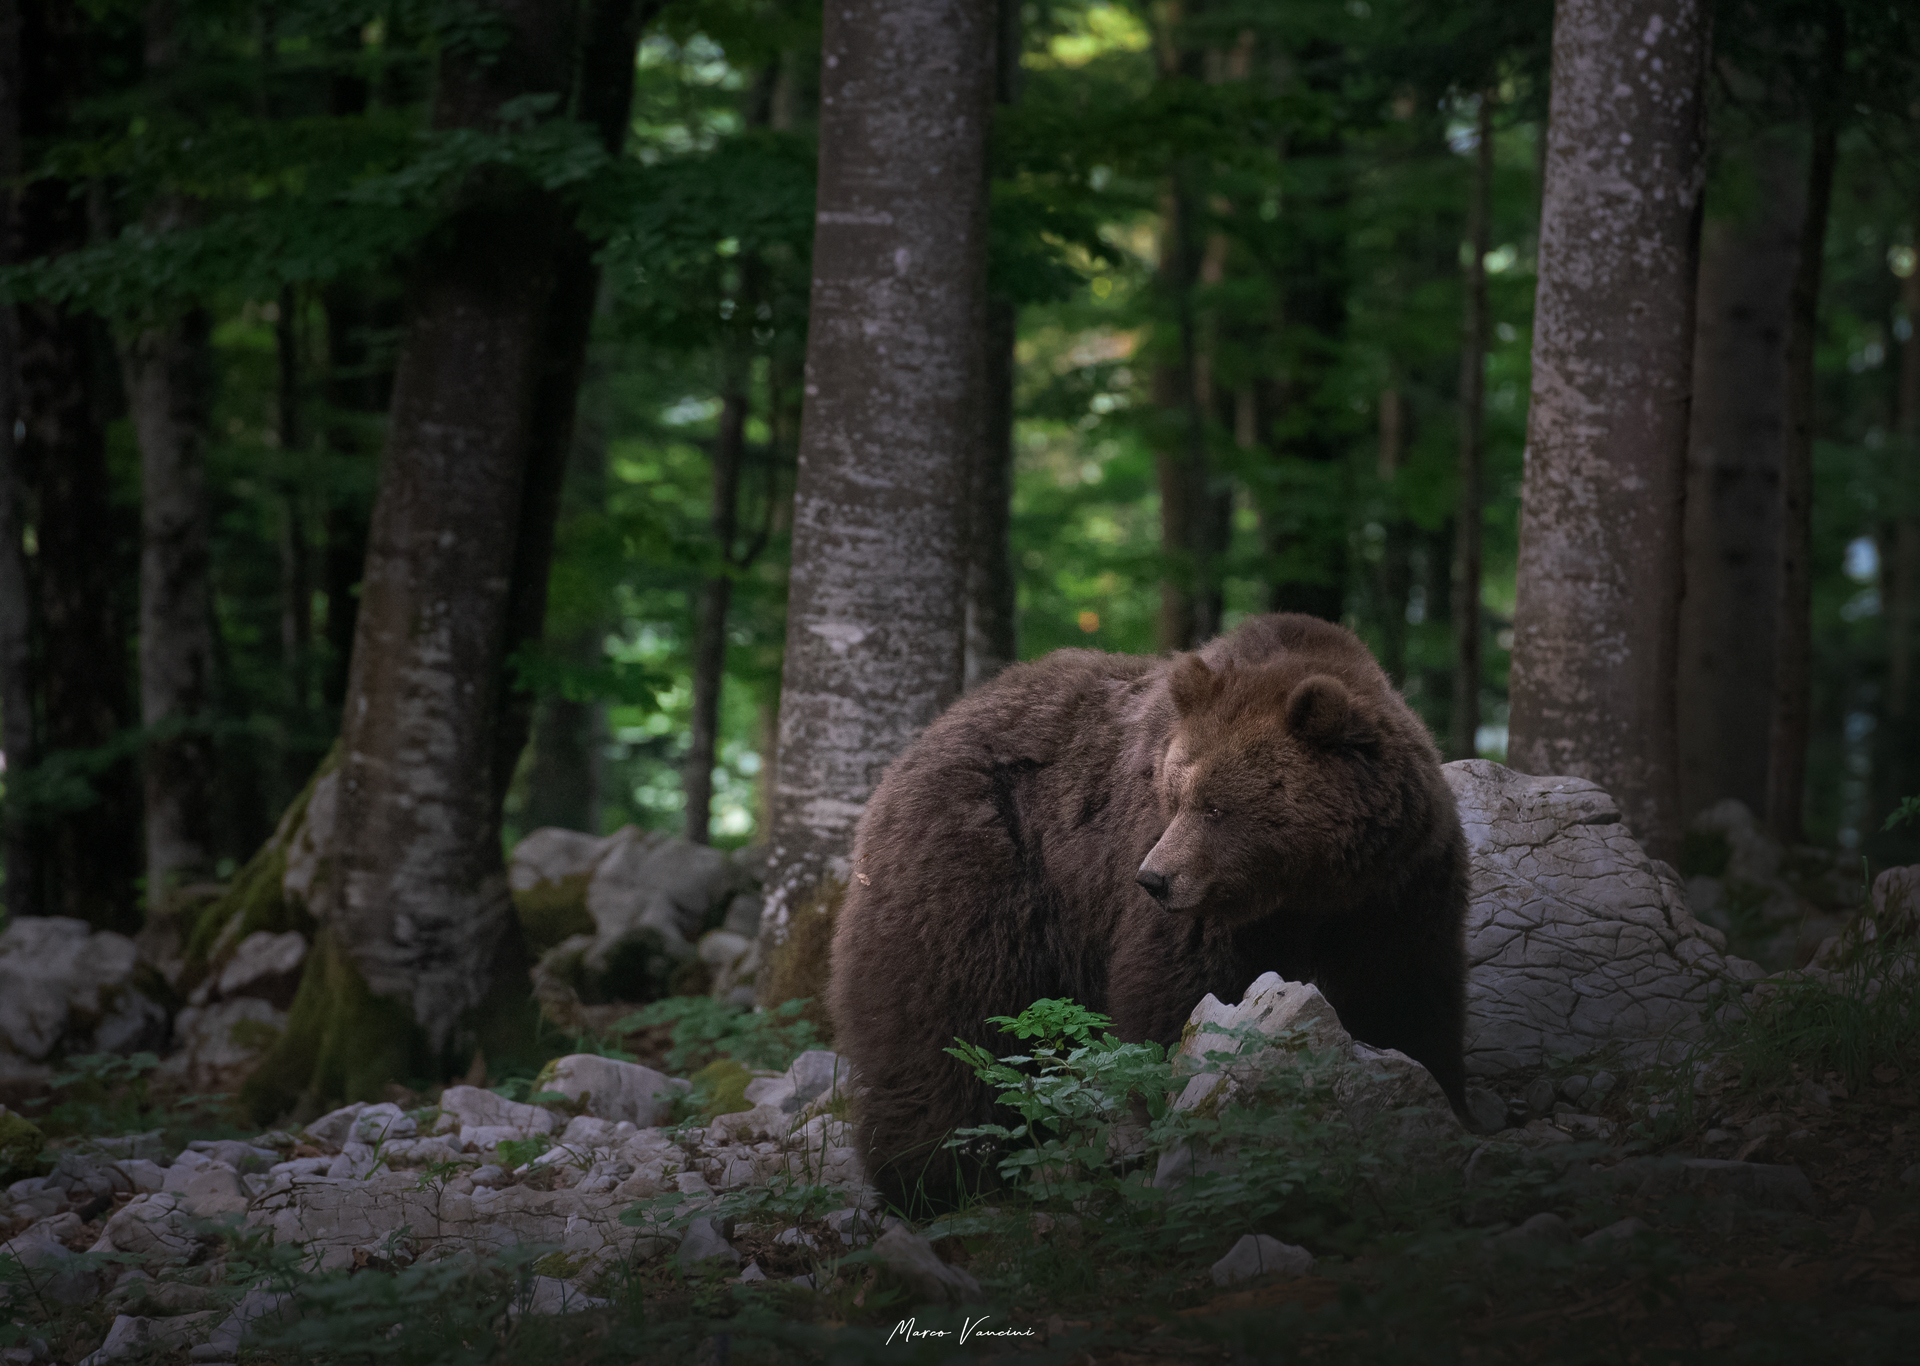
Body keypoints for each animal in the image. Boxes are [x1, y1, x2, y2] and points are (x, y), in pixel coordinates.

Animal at [827, 612, 1470, 1210]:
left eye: (1215, 806)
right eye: (1174, 792)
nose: (1153, 878)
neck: (1307, 892)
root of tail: (929, 732)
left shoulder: (1397, 894)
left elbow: (1407, 1001)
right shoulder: (1203, 915)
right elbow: (1178, 1001)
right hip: (979, 868)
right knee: (948, 1023)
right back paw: (933, 1178)